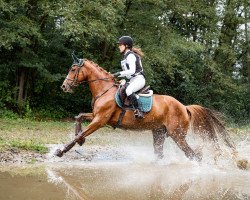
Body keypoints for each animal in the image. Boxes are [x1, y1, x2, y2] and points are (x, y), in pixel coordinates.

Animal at [55, 54, 238, 163]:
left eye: (73, 69)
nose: (64, 86)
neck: (104, 90)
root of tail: (184, 107)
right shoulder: (96, 116)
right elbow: (79, 117)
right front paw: (79, 141)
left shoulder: (100, 120)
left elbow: (81, 132)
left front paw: (62, 150)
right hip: (159, 132)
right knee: (160, 153)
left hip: (177, 135)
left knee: (193, 155)